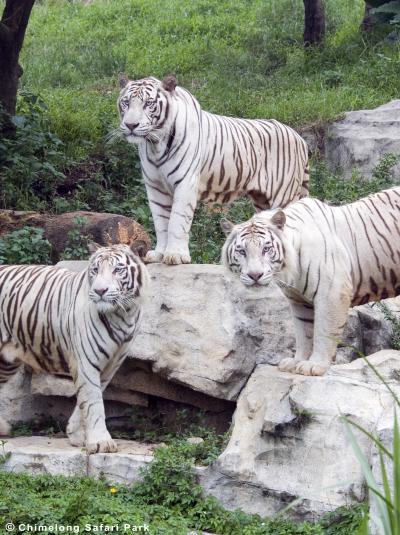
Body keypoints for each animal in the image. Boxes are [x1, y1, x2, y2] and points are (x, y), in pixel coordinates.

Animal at [0, 245, 149, 454]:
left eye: (117, 270)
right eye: (95, 270)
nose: (100, 290)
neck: (123, 314)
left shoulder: (111, 364)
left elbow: (88, 398)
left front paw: (76, 435)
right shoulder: (86, 360)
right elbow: (94, 401)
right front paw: (101, 442)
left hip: (6, 362)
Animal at [118, 74, 310, 266]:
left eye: (148, 103)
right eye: (126, 102)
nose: (131, 125)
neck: (155, 143)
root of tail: (299, 137)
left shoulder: (185, 183)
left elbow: (176, 221)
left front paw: (175, 255)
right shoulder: (155, 186)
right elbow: (161, 222)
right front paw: (159, 254)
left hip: (283, 195)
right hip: (262, 199)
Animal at [220, 188, 400, 376]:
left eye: (266, 249)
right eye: (242, 251)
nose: (255, 275)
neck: (290, 270)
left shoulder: (332, 293)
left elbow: (323, 331)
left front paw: (315, 365)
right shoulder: (298, 300)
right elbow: (303, 333)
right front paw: (296, 362)